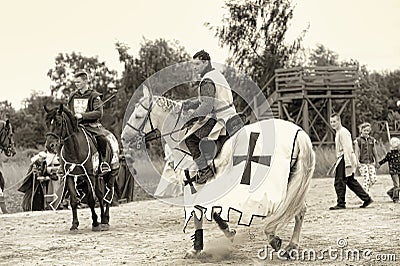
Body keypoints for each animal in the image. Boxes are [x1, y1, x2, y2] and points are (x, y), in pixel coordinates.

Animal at [122, 87, 316, 258]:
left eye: (138, 116)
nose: (124, 138)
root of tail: (298, 134)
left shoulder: (194, 185)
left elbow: (199, 212)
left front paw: (197, 248)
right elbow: (212, 211)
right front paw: (228, 232)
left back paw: (274, 237)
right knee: (299, 209)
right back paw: (291, 245)